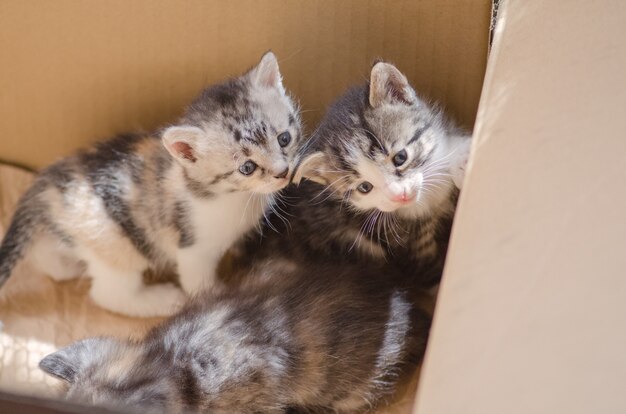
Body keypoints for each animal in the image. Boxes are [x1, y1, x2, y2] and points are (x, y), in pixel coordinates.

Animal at [0, 51, 302, 316]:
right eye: (247, 167)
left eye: (284, 138)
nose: (283, 172)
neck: (232, 196)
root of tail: (46, 183)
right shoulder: (194, 246)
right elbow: (197, 281)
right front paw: (216, 295)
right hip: (117, 242)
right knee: (108, 294)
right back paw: (163, 300)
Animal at [247, 60, 468, 288]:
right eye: (364, 187)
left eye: (400, 157)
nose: (400, 195)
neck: (428, 197)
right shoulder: (405, 247)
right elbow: (429, 272)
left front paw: (463, 156)